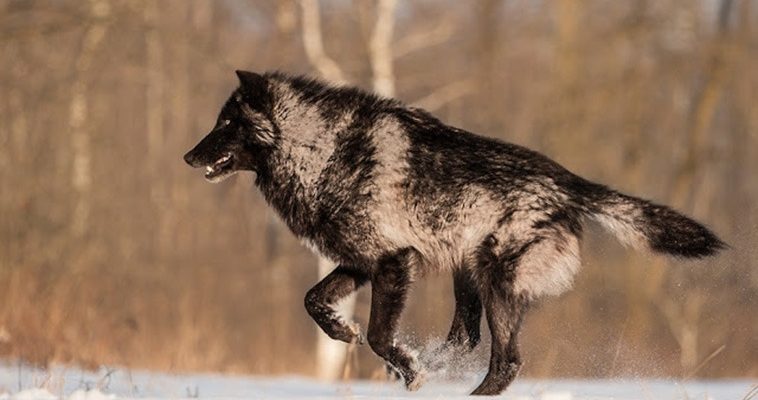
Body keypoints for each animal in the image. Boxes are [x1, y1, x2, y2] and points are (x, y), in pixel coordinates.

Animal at [183, 70, 724, 396]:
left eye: (227, 123)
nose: (187, 156)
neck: (324, 148)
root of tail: (568, 181)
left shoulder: (392, 262)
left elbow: (378, 334)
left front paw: (408, 368)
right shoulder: (361, 262)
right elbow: (313, 301)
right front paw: (347, 333)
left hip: (496, 284)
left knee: (504, 362)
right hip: (469, 274)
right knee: (467, 338)